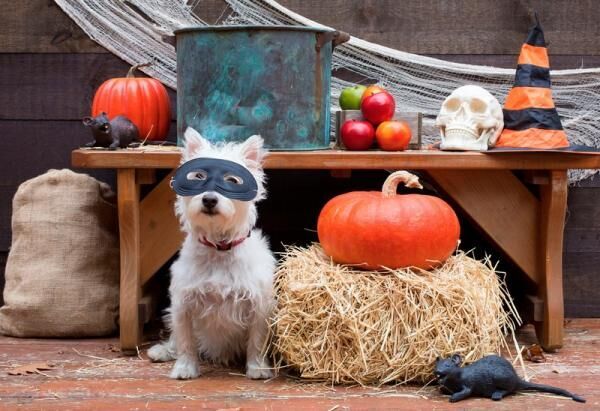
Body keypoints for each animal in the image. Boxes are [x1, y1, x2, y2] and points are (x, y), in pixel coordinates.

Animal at [148, 127, 274, 382]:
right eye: (197, 177)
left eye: (232, 181)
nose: (209, 198)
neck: (219, 248)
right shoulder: (183, 302)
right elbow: (186, 341)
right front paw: (185, 368)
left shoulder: (259, 303)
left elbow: (257, 339)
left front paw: (257, 368)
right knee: (175, 339)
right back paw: (162, 351)